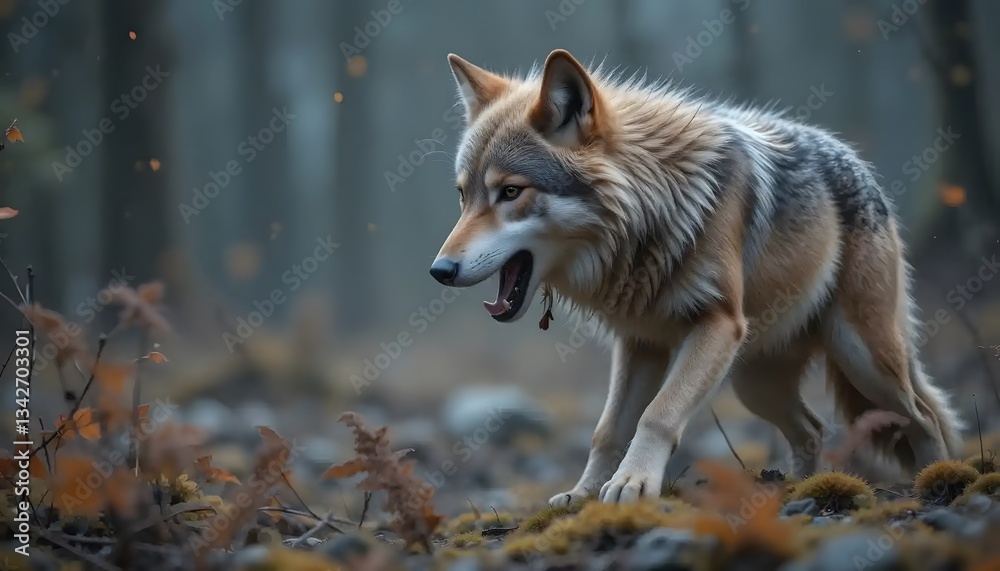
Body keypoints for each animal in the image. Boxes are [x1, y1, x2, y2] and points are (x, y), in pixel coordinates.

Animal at [429, 49, 964, 505]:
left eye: (510, 192)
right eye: (462, 195)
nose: (439, 270)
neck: (652, 214)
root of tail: (862, 167)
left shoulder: (717, 324)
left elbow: (658, 415)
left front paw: (632, 484)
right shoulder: (639, 343)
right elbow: (608, 429)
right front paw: (583, 494)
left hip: (862, 360)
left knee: (924, 417)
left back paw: (938, 478)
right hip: (754, 382)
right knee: (813, 427)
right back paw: (800, 489)